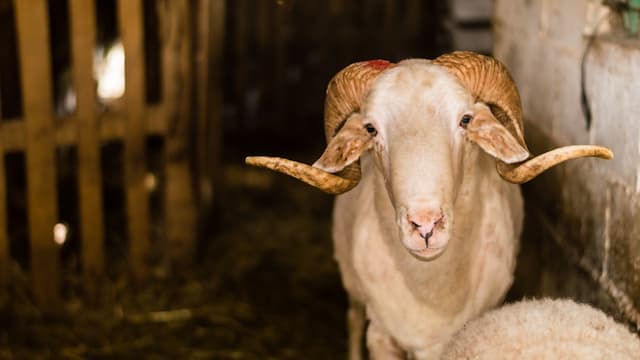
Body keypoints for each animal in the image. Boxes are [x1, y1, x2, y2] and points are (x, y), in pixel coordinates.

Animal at [244, 51, 608, 360]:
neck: (431, 288)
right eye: (371, 128)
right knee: (352, 318)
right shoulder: (382, 336)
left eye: (465, 120)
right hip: (351, 282)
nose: (425, 226)